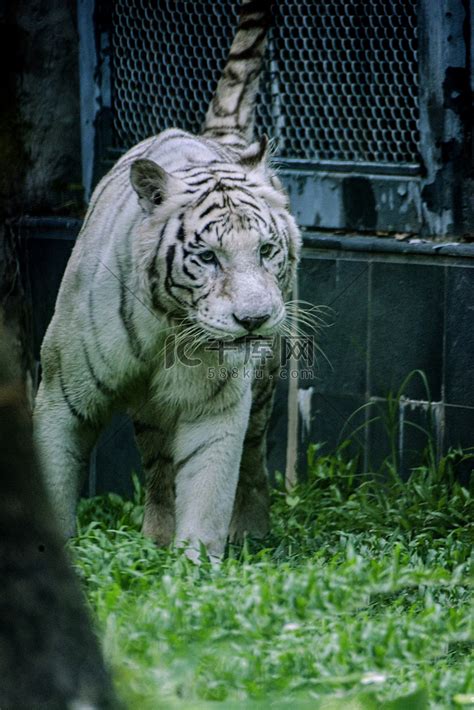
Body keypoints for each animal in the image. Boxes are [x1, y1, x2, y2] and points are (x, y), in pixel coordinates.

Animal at [34, 1, 300, 568]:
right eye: (208, 257)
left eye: (266, 251)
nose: (254, 319)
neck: (169, 328)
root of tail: (219, 139)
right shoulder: (62, 396)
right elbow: (58, 475)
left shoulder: (217, 404)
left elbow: (209, 481)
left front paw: (195, 565)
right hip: (153, 415)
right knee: (157, 467)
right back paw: (155, 536)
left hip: (266, 381)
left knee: (251, 457)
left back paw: (251, 531)